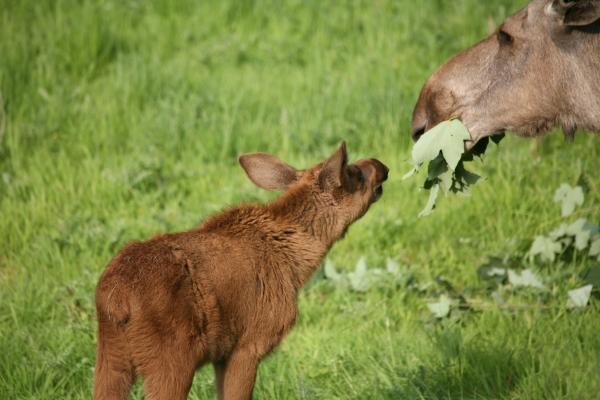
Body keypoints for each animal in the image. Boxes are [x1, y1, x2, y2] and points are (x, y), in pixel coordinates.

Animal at [94, 144, 390, 400]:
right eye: (355, 173)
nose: (382, 165)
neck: (296, 264)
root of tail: (115, 299)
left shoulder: (222, 355)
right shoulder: (248, 346)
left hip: (111, 361)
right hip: (170, 361)